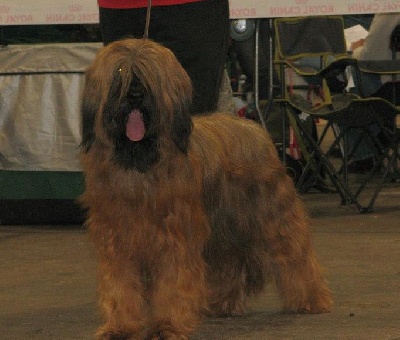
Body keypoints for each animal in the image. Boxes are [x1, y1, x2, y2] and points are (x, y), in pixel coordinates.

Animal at [79, 38, 332, 338]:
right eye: (120, 73)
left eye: (148, 74)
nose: (136, 96)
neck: (140, 167)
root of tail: (254, 127)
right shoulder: (117, 239)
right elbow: (121, 285)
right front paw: (122, 326)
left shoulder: (175, 237)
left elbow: (173, 283)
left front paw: (167, 326)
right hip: (223, 227)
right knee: (229, 263)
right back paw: (224, 303)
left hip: (273, 217)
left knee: (296, 255)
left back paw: (312, 299)